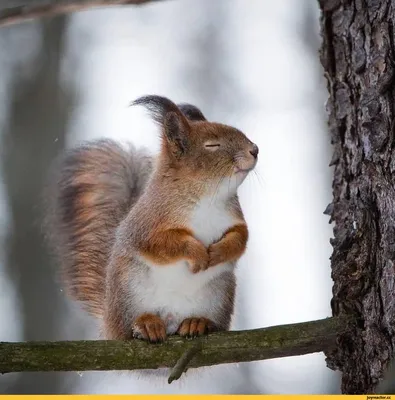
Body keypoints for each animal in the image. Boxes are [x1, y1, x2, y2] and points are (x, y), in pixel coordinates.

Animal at [45, 95, 260, 342]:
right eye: (212, 145)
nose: (255, 149)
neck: (208, 196)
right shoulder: (147, 223)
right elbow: (161, 244)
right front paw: (197, 253)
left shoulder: (234, 218)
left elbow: (240, 237)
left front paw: (218, 252)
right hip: (128, 294)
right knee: (129, 327)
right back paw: (146, 324)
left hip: (219, 296)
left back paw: (198, 322)